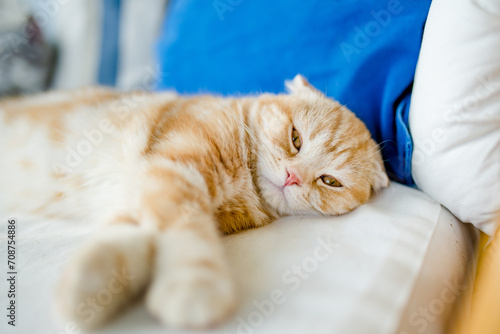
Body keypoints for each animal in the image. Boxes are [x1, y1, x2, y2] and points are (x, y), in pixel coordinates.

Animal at [0, 75, 388, 328]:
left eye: (330, 181)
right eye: (295, 138)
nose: (293, 176)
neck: (245, 178)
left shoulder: (143, 196)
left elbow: (126, 242)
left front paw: (87, 290)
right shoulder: (175, 173)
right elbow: (187, 234)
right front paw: (195, 285)